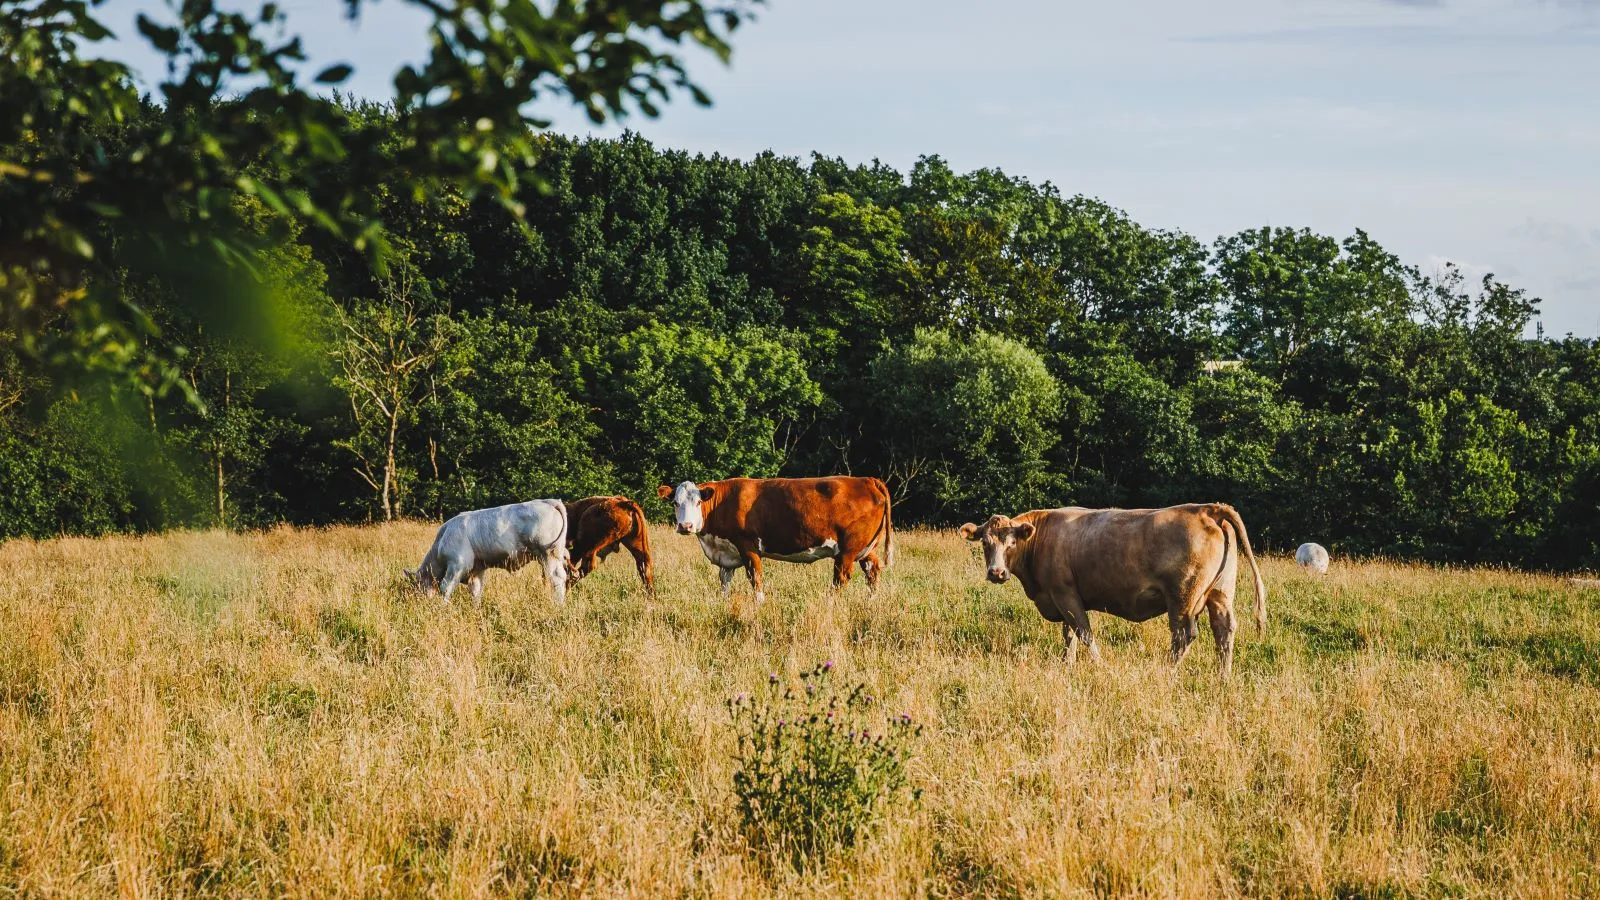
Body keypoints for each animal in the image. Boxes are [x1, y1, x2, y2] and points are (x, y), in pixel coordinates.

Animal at [404, 499, 570, 603]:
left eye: (417, 583)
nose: (419, 600)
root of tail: (547, 501)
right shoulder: (477, 569)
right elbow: (476, 591)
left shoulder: (457, 565)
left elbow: (446, 587)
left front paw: (442, 608)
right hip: (555, 555)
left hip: (547, 554)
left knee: (556, 578)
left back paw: (558, 605)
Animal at [658, 477, 892, 603]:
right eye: (676, 503)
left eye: (698, 502)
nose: (685, 526)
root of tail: (867, 480)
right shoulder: (727, 554)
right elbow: (725, 582)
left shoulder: (748, 546)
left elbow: (756, 578)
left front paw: (760, 604)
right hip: (865, 548)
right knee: (873, 569)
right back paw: (870, 601)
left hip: (846, 550)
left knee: (841, 579)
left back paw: (830, 603)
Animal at [960, 503, 1266, 677]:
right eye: (985, 542)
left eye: (1011, 542)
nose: (996, 572)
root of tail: (1207, 508)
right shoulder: (1063, 598)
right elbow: (1070, 635)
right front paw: (1067, 665)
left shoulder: (1065, 594)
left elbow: (1083, 633)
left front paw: (1098, 666)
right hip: (1220, 594)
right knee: (1224, 632)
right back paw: (1223, 677)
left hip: (1182, 598)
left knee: (1184, 635)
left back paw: (1165, 673)